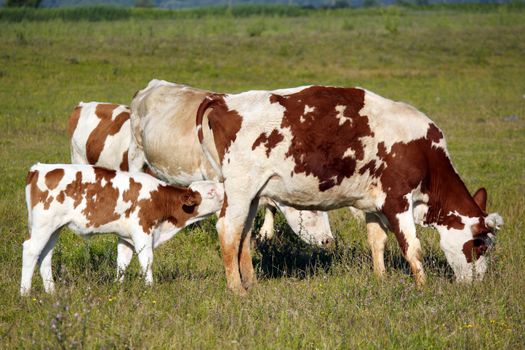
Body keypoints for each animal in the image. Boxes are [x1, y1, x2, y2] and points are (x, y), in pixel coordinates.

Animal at [21, 164, 222, 296]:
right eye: (211, 192)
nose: (225, 189)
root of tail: (39, 168)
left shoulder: (126, 237)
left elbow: (122, 262)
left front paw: (118, 287)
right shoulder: (142, 231)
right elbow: (147, 261)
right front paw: (150, 288)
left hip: (54, 228)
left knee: (45, 255)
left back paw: (51, 291)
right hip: (43, 225)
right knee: (30, 250)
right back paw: (25, 293)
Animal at [127, 80, 332, 246]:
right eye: (312, 210)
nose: (328, 240)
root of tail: (154, 85)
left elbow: (270, 206)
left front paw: (265, 234)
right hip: (135, 153)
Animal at [196, 85, 504, 296]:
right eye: (479, 245)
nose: (477, 284)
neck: (423, 152)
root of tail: (224, 101)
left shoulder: (374, 204)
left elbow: (377, 241)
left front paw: (381, 279)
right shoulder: (397, 200)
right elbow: (412, 248)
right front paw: (423, 286)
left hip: (253, 194)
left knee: (244, 232)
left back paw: (251, 282)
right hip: (240, 188)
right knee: (228, 229)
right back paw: (237, 289)